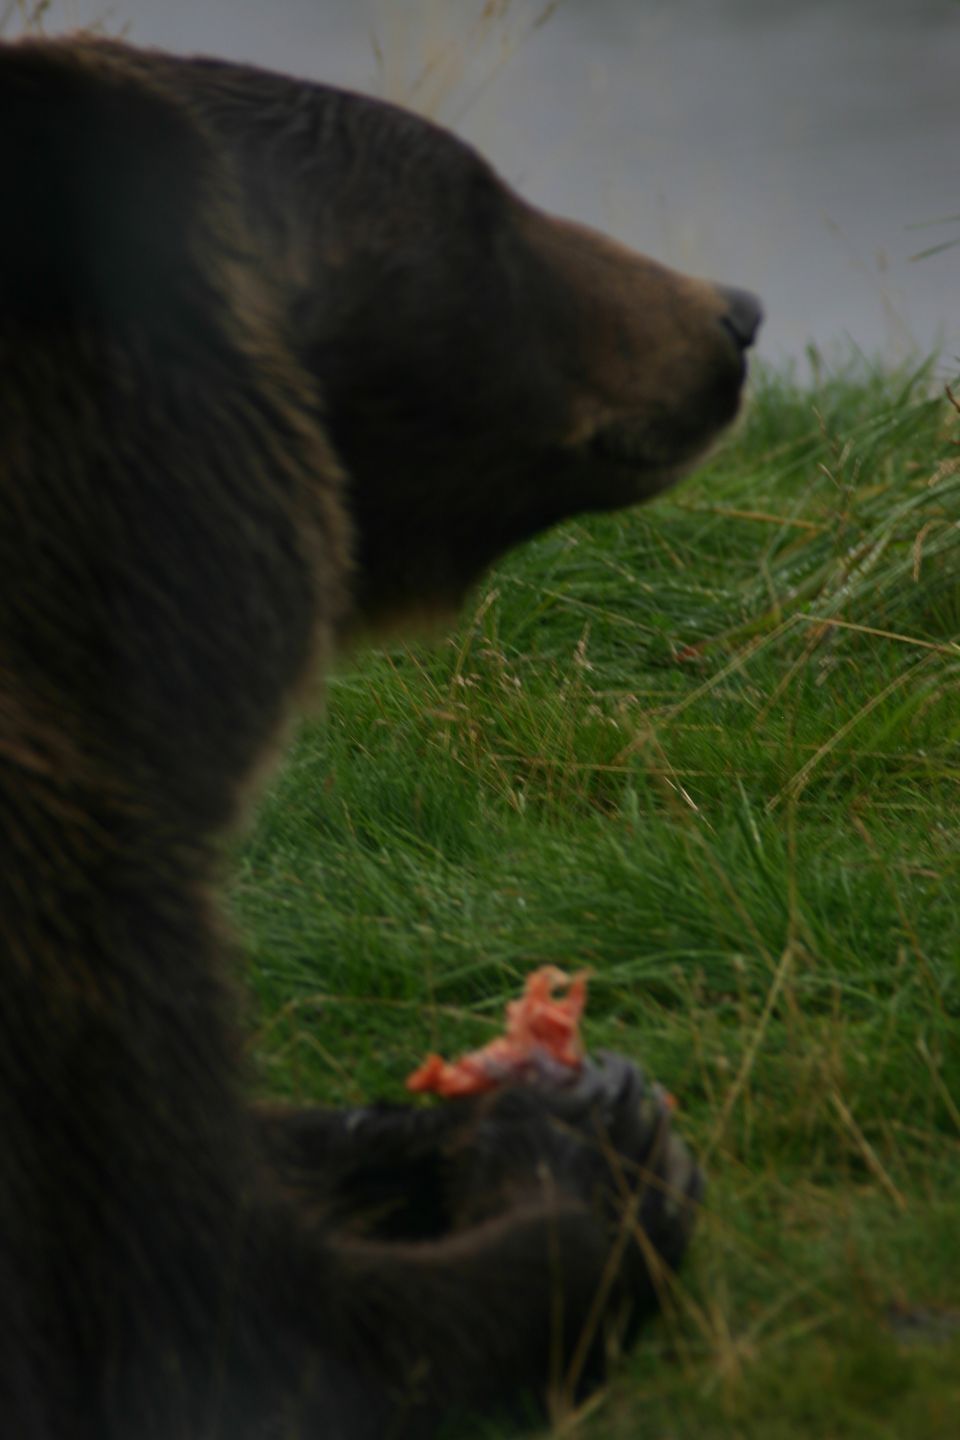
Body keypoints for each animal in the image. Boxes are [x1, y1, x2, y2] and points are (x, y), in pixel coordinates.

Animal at [0, 35, 760, 1440]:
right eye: (477, 202)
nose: (733, 311)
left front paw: (495, 1107)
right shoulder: (69, 951)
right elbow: (250, 1329)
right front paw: (597, 1163)